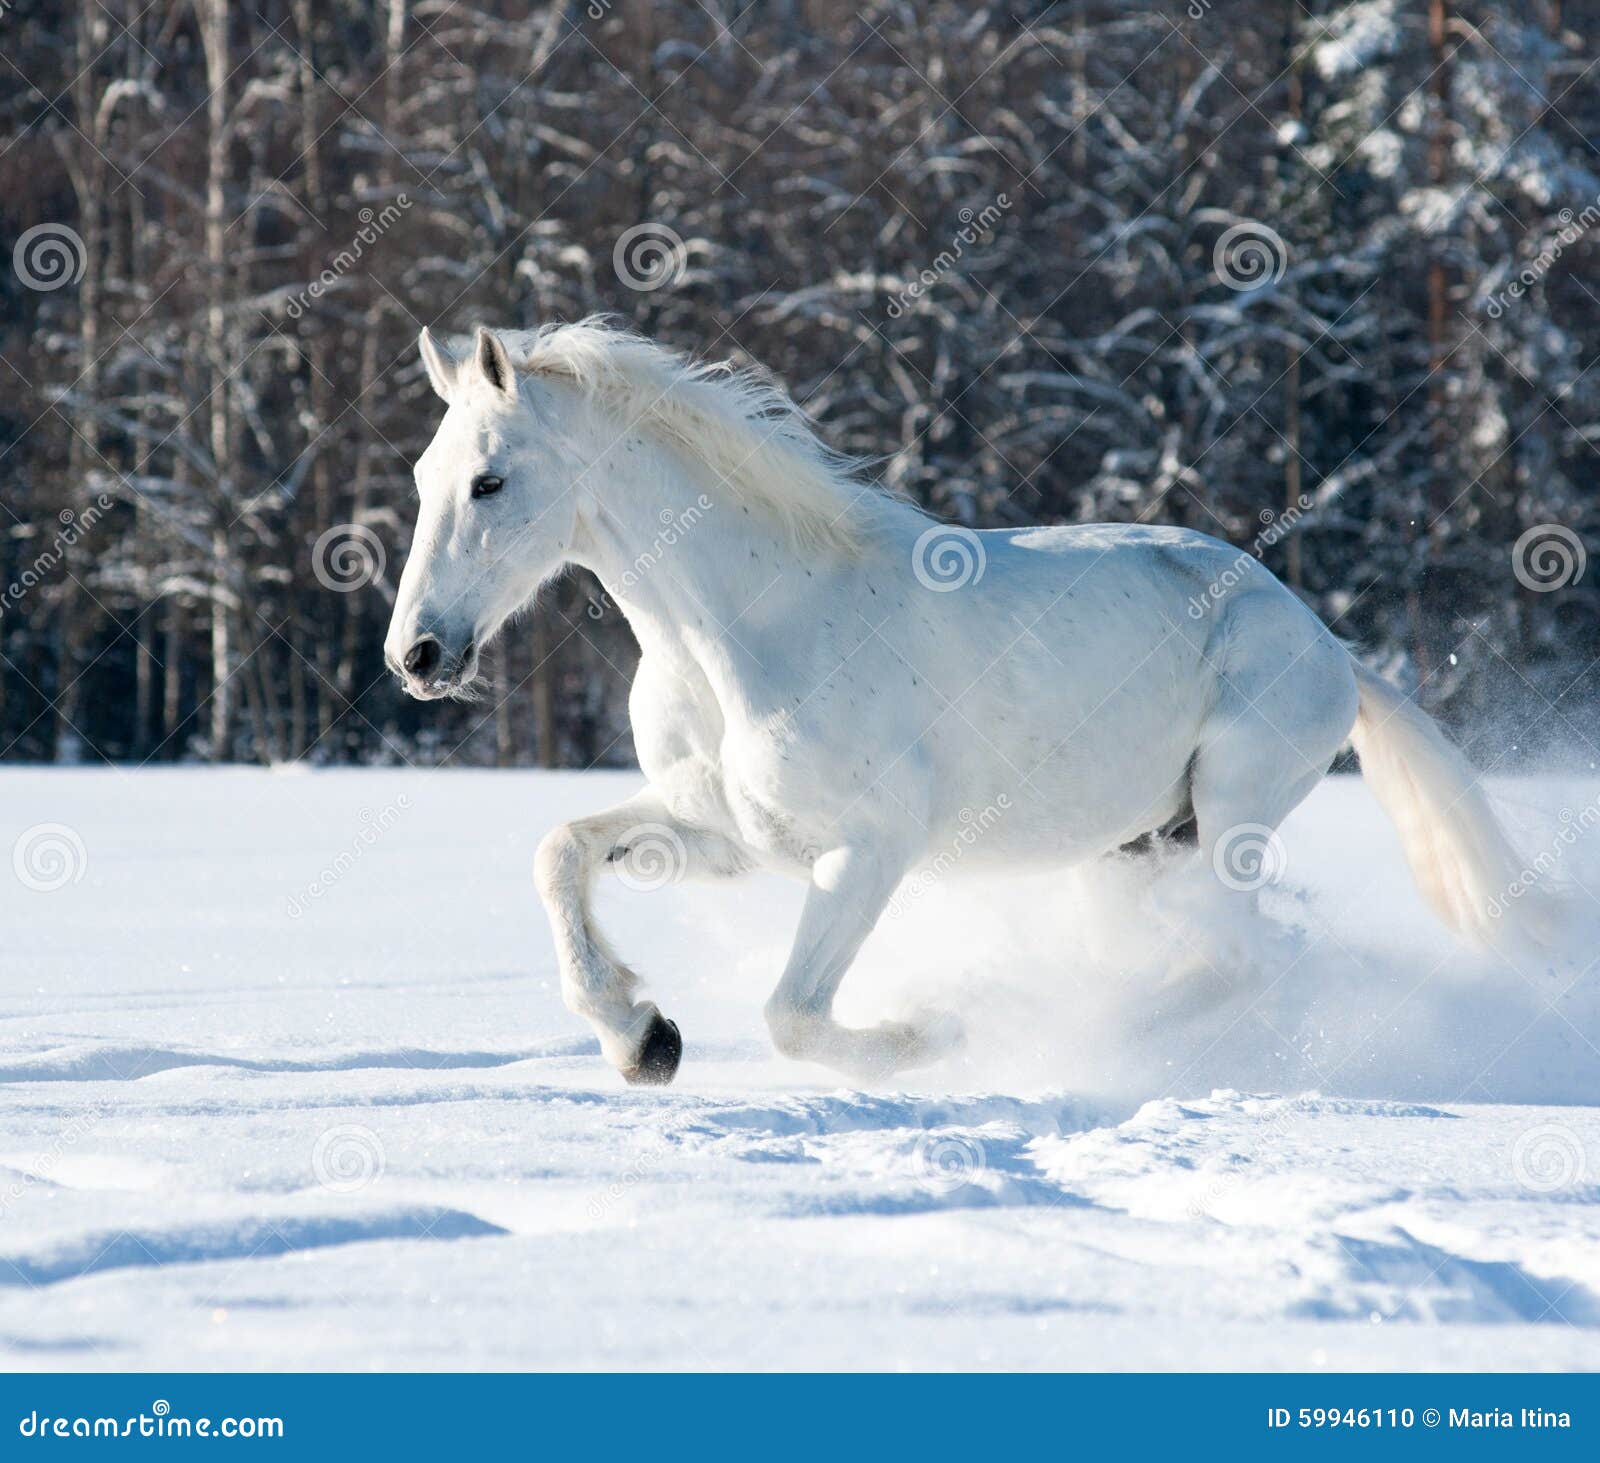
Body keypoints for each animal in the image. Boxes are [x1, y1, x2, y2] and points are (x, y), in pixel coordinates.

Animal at [380, 320, 1555, 1082]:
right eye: (424, 477)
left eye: (489, 480)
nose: (417, 653)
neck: (747, 632)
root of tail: (1329, 645)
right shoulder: (722, 834)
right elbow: (561, 849)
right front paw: (641, 1037)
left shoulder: (867, 851)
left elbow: (792, 1014)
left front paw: (923, 1039)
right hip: (1143, 842)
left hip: (1233, 809)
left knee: (1246, 956)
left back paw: (1054, 1033)